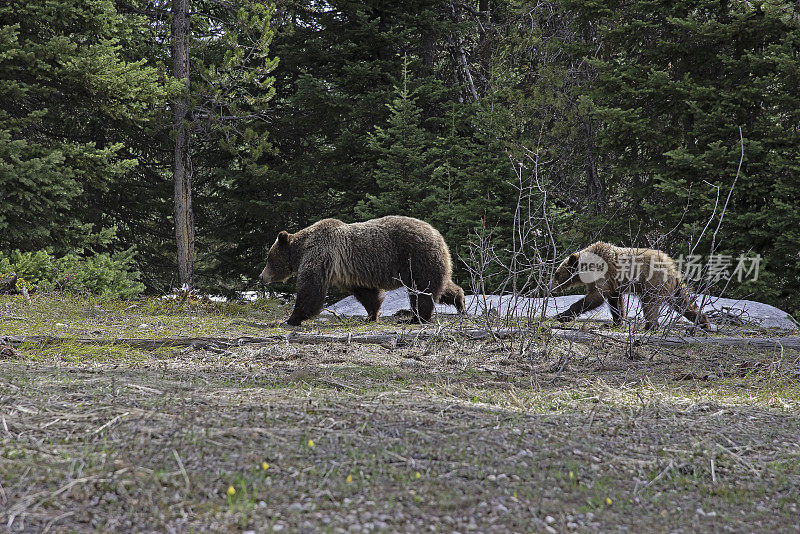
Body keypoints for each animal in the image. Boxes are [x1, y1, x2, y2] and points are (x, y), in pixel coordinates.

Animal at [260, 217, 466, 326]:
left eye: (269, 258)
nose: (262, 276)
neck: (301, 250)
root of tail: (438, 235)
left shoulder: (321, 255)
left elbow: (310, 290)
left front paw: (292, 318)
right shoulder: (351, 272)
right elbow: (367, 294)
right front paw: (371, 315)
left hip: (416, 258)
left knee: (422, 290)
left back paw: (416, 318)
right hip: (428, 263)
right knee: (441, 287)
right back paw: (460, 303)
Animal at [552, 243, 712, 330]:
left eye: (556, 274)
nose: (551, 288)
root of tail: (673, 268)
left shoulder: (602, 273)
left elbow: (597, 296)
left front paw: (561, 316)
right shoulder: (614, 283)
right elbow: (615, 301)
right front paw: (615, 322)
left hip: (653, 283)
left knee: (650, 304)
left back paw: (650, 326)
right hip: (674, 288)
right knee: (684, 303)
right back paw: (704, 322)